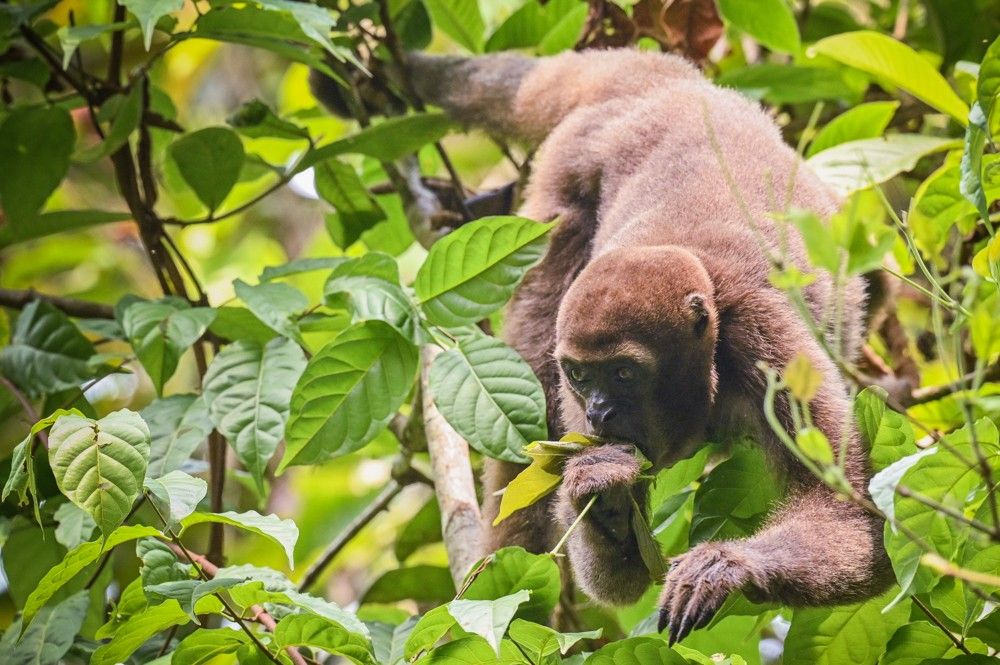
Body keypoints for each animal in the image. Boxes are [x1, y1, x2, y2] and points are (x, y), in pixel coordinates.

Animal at [313, 48, 894, 643]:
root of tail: (661, 83)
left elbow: (847, 519)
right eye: (581, 375)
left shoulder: (769, 347)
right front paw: (602, 495)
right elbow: (616, 579)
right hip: (564, 177)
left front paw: (723, 568)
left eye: (624, 374)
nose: (598, 411)